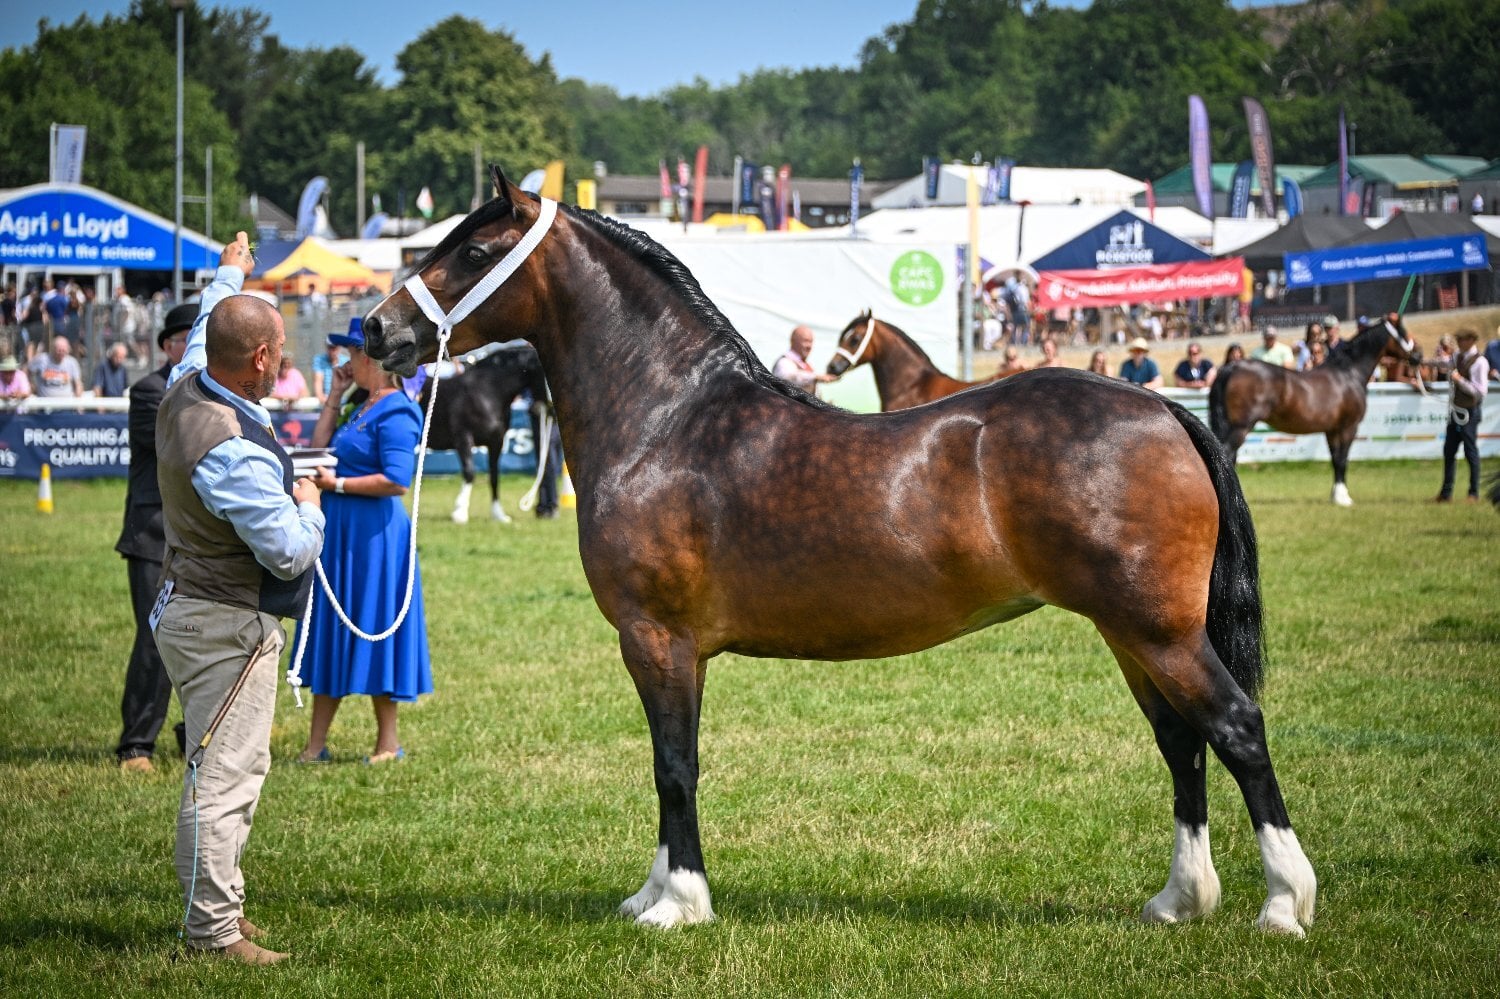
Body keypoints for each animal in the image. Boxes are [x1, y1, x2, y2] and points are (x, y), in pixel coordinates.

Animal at [419, 342, 549, 523]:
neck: (485, 392)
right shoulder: (464, 439)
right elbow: (469, 473)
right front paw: (460, 512)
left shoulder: (496, 443)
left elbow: (494, 476)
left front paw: (498, 514)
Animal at [1208, 317, 1423, 506]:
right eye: (1404, 333)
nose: (1418, 357)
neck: (1348, 374)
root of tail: (1232, 367)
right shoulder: (1348, 428)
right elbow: (1343, 460)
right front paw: (1344, 498)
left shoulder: (1332, 430)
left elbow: (1335, 460)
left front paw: (1335, 496)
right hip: (1240, 427)